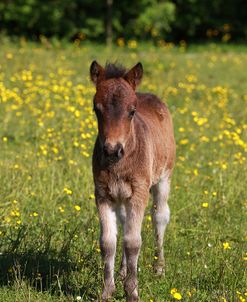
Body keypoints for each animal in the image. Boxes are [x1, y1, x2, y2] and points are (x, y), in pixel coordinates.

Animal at [89, 61, 176, 302]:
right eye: (96, 109)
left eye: (132, 111)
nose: (112, 150)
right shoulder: (103, 194)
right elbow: (108, 242)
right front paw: (107, 291)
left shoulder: (139, 193)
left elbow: (133, 242)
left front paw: (132, 291)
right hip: (121, 197)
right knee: (124, 221)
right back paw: (122, 271)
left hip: (163, 178)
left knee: (160, 216)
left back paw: (159, 268)